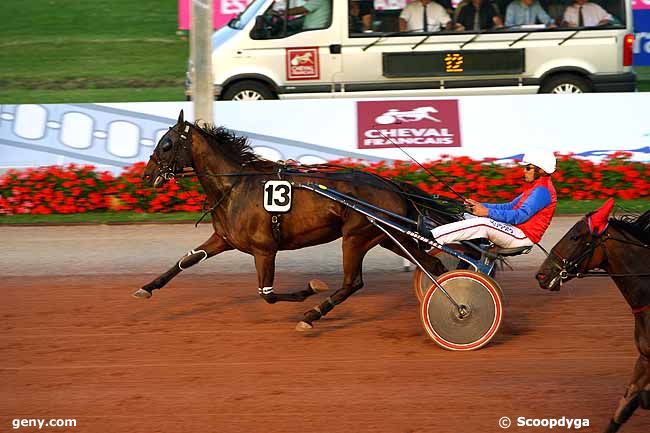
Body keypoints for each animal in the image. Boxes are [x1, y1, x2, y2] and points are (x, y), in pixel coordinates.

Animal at [132, 111, 460, 330]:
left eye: (166, 144)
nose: (147, 175)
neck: (235, 186)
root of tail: (391, 185)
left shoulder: (264, 250)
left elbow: (267, 295)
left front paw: (309, 289)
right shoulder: (223, 239)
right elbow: (186, 260)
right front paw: (146, 288)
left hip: (356, 237)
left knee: (352, 282)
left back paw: (312, 315)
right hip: (390, 237)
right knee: (432, 264)